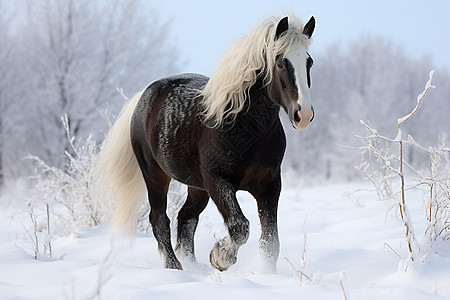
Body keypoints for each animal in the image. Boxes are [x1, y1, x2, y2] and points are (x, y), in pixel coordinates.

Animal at [93, 14, 314, 272]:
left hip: (196, 187)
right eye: (279, 62)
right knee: (159, 219)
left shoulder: (269, 184)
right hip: (155, 175)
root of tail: (143, 98)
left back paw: (190, 264)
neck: (246, 127)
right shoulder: (217, 180)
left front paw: (265, 273)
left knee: (186, 218)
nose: (304, 115)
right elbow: (240, 226)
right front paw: (220, 257)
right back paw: (175, 267)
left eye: (309, 62)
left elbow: (270, 242)